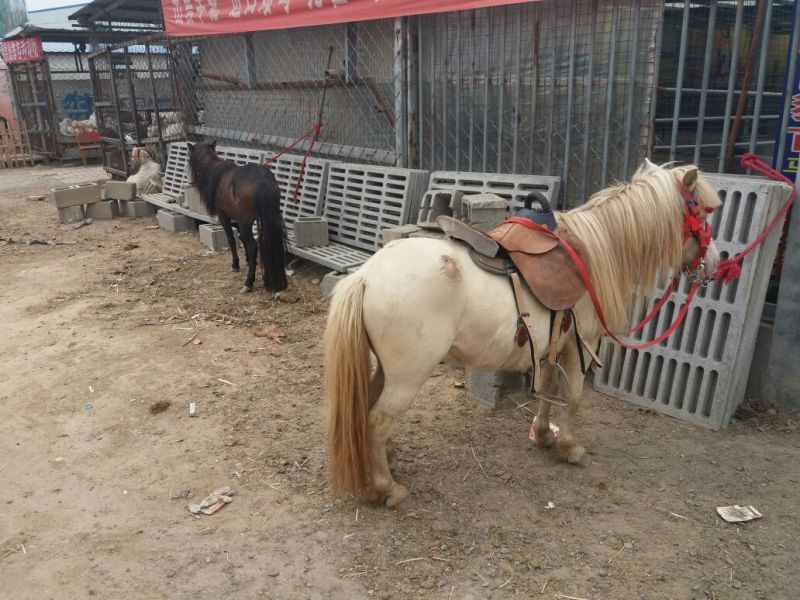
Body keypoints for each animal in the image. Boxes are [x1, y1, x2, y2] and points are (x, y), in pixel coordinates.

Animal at [187, 142, 289, 292]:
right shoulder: (240, 219)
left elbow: (231, 239)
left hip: (245, 221)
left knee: (253, 246)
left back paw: (248, 283)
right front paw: (248, 261)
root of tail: (262, 181)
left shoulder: (224, 216)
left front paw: (235, 265)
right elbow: (241, 238)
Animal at [324, 160, 722, 507]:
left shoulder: (552, 345)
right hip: (407, 375)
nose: (715, 265)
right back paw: (386, 488)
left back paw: (387, 460)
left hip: (384, 369)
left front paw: (544, 435)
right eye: (703, 213)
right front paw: (570, 448)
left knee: (367, 411)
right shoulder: (581, 346)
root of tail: (367, 274)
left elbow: (548, 391)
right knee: (377, 421)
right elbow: (574, 398)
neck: (595, 250)